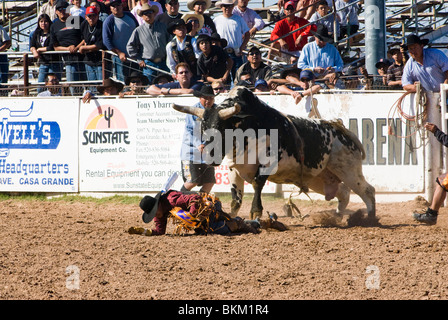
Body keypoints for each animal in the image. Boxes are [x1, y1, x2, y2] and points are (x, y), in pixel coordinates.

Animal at [173, 87, 376, 220]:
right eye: (203, 129)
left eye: (222, 129)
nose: (209, 156)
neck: (248, 126)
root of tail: (340, 130)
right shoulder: (234, 170)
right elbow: (236, 200)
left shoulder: (267, 163)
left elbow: (257, 185)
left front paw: (256, 213)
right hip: (320, 178)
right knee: (343, 192)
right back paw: (338, 216)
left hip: (348, 169)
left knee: (366, 190)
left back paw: (370, 217)